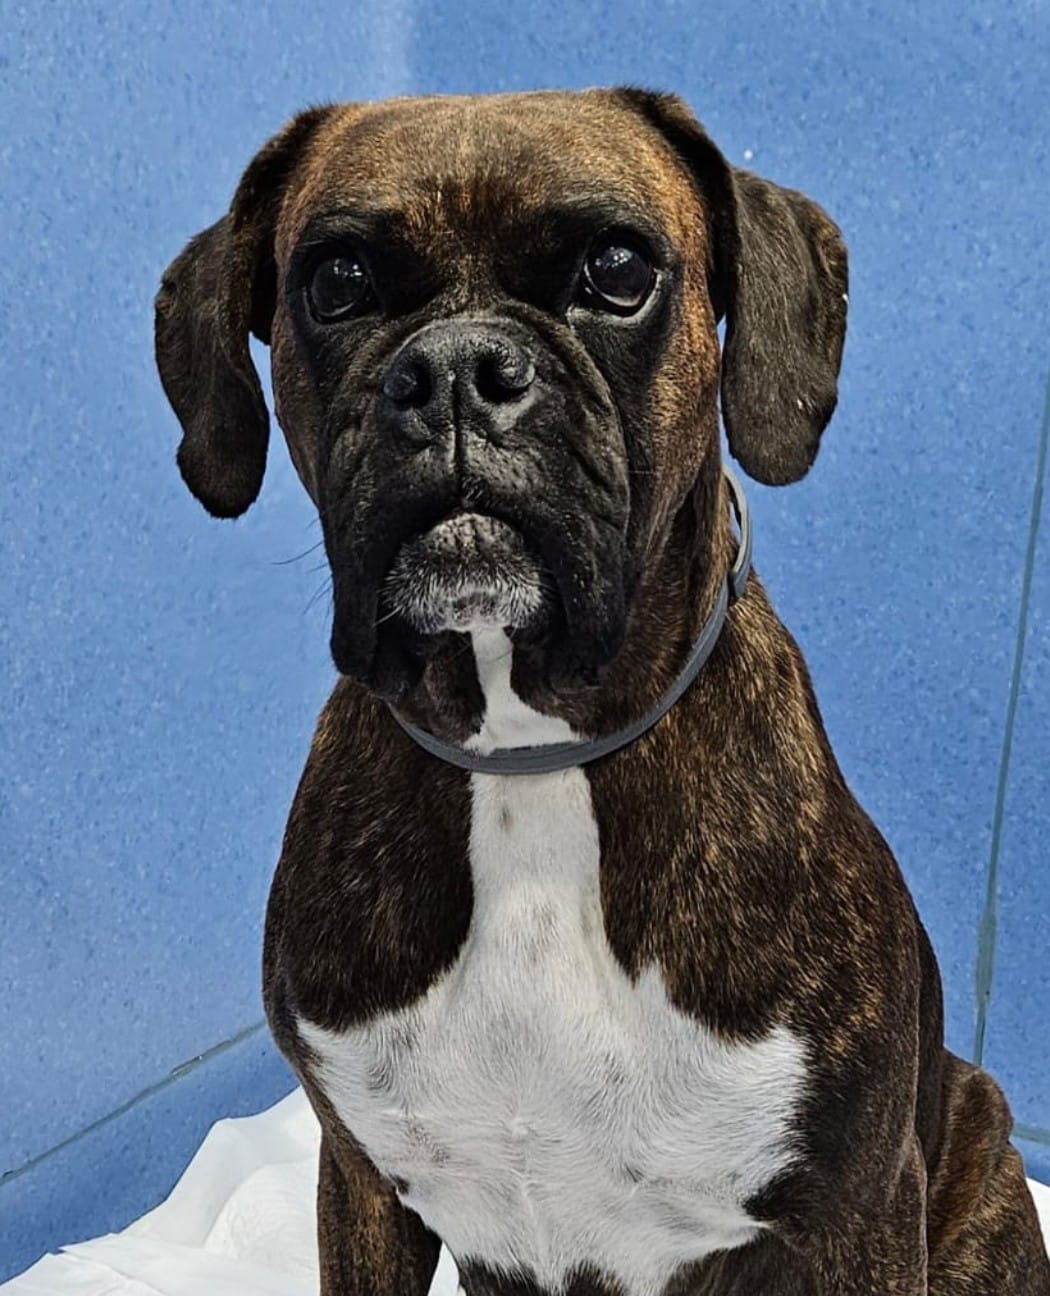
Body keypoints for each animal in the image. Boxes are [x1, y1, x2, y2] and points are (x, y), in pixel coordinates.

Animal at [155, 89, 1050, 1295]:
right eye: (335, 281)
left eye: (618, 270)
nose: (455, 369)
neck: (528, 749)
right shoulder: (361, 1182)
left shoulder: (857, 1206)